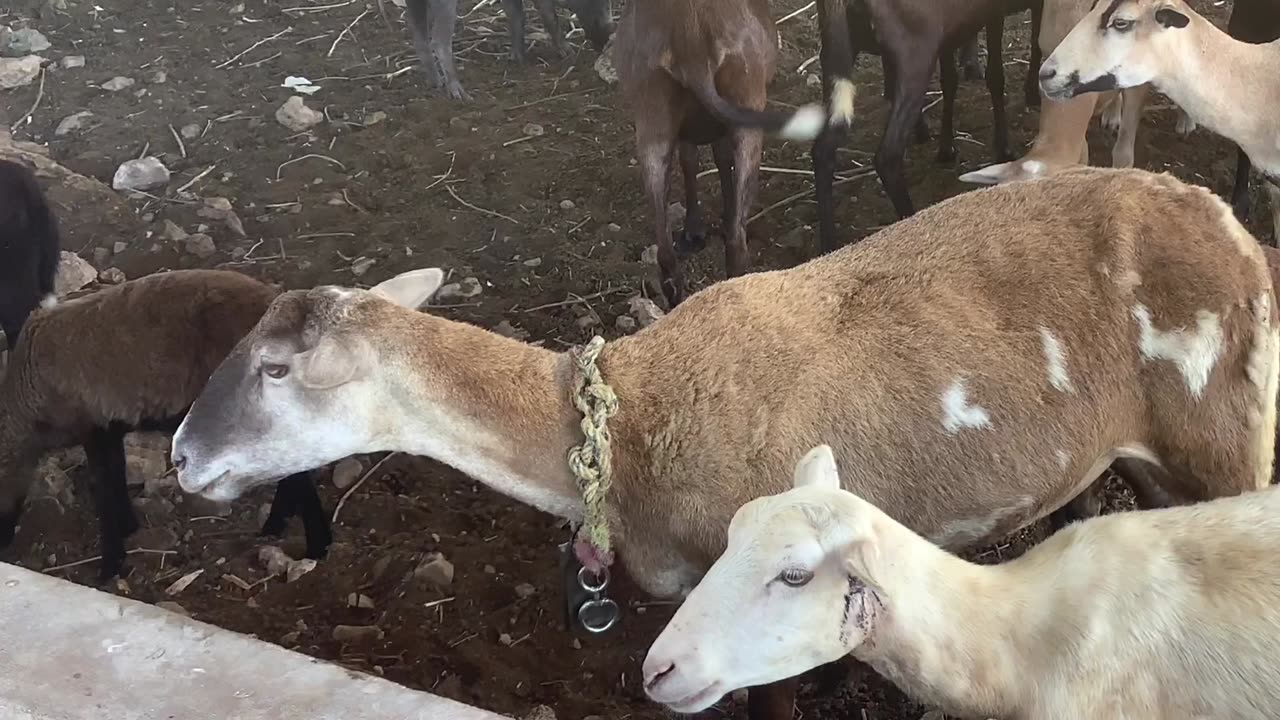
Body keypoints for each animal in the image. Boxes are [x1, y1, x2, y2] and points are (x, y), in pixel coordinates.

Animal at [614, 0, 824, 304]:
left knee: (666, 256)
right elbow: (720, 160)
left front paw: (693, 232)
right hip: (747, 101)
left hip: (651, 112)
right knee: (736, 242)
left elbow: (692, 160)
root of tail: (689, 38)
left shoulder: (690, 130)